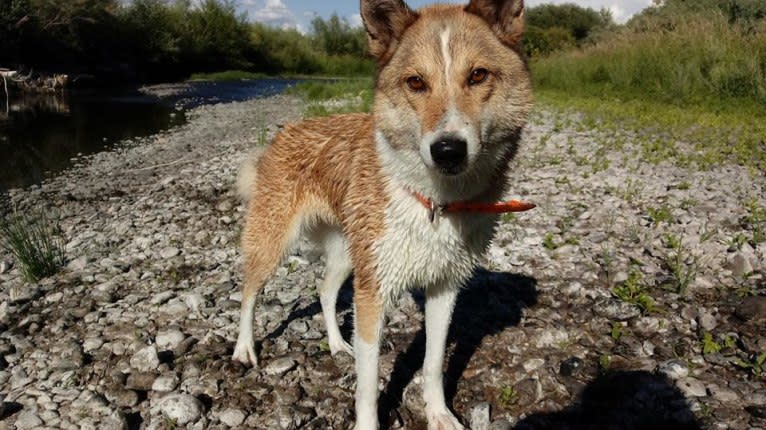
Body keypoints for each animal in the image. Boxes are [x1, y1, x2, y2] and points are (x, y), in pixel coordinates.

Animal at [234, 1, 536, 428]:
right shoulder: (373, 294)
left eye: (478, 75)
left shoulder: (444, 287)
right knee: (248, 293)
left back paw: (336, 344)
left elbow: (432, 363)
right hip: (274, 243)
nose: (448, 150)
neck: (435, 201)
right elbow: (367, 384)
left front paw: (439, 414)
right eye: (415, 82)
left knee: (325, 290)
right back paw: (244, 349)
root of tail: (284, 131)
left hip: (351, 253)